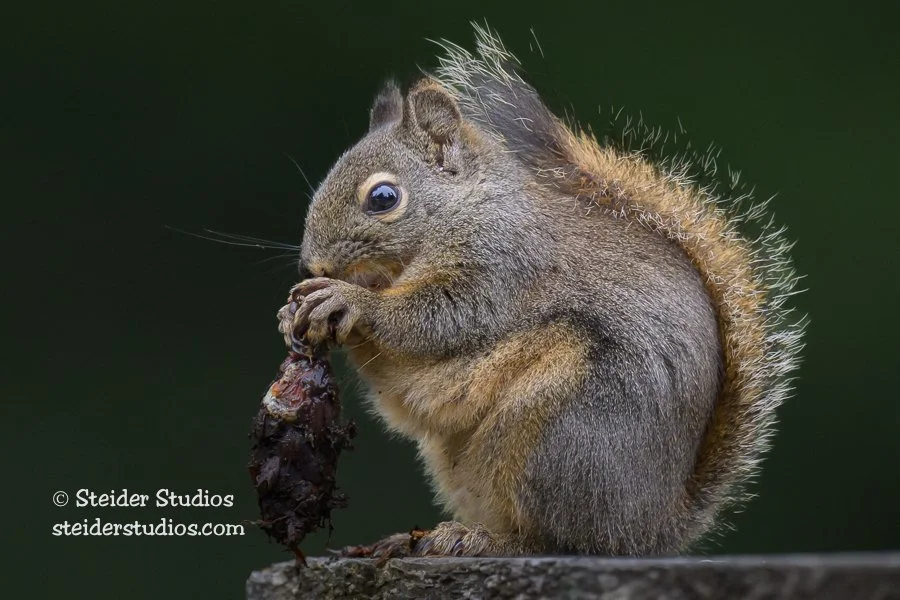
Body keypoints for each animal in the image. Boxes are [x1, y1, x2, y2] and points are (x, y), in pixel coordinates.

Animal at [276, 25, 805, 557]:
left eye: (383, 198)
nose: (314, 264)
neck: (466, 208)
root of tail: (651, 527)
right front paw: (295, 309)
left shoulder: (503, 264)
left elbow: (440, 318)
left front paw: (350, 301)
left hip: (563, 435)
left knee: (562, 539)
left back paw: (485, 541)